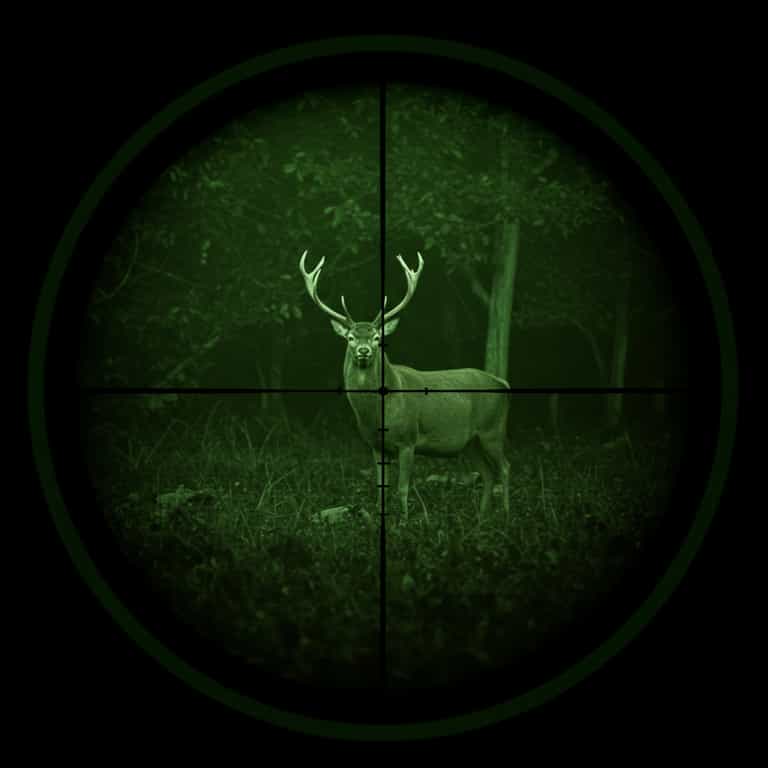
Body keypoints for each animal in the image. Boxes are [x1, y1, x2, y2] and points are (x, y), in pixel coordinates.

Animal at [299, 249, 511, 520]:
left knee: (504, 467)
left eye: (377, 338)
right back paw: (482, 518)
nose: (364, 351)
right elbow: (380, 488)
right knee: (488, 473)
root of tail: (502, 382)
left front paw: (405, 522)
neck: (377, 414)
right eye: (350, 337)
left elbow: (402, 488)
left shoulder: (408, 439)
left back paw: (506, 514)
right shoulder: (375, 446)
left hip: (492, 429)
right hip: (471, 441)